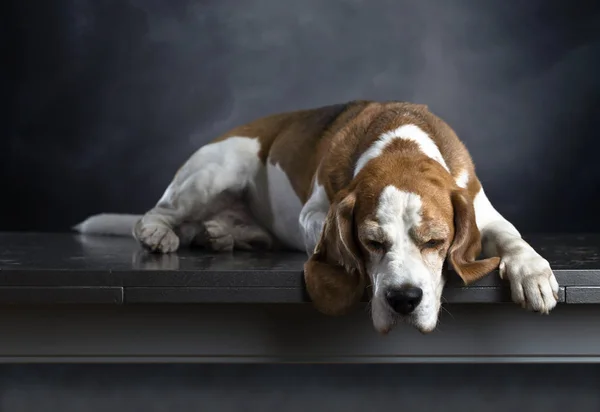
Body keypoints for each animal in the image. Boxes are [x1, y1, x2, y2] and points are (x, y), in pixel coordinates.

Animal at [75, 100, 556, 334]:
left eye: (436, 242)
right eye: (371, 242)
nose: (403, 300)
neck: (399, 141)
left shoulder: (477, 206)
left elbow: (511, 235)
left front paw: (532, 272)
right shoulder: (317, 214)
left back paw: (224, 234)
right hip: (217, 170)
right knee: (155, 214)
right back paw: (161, 233)